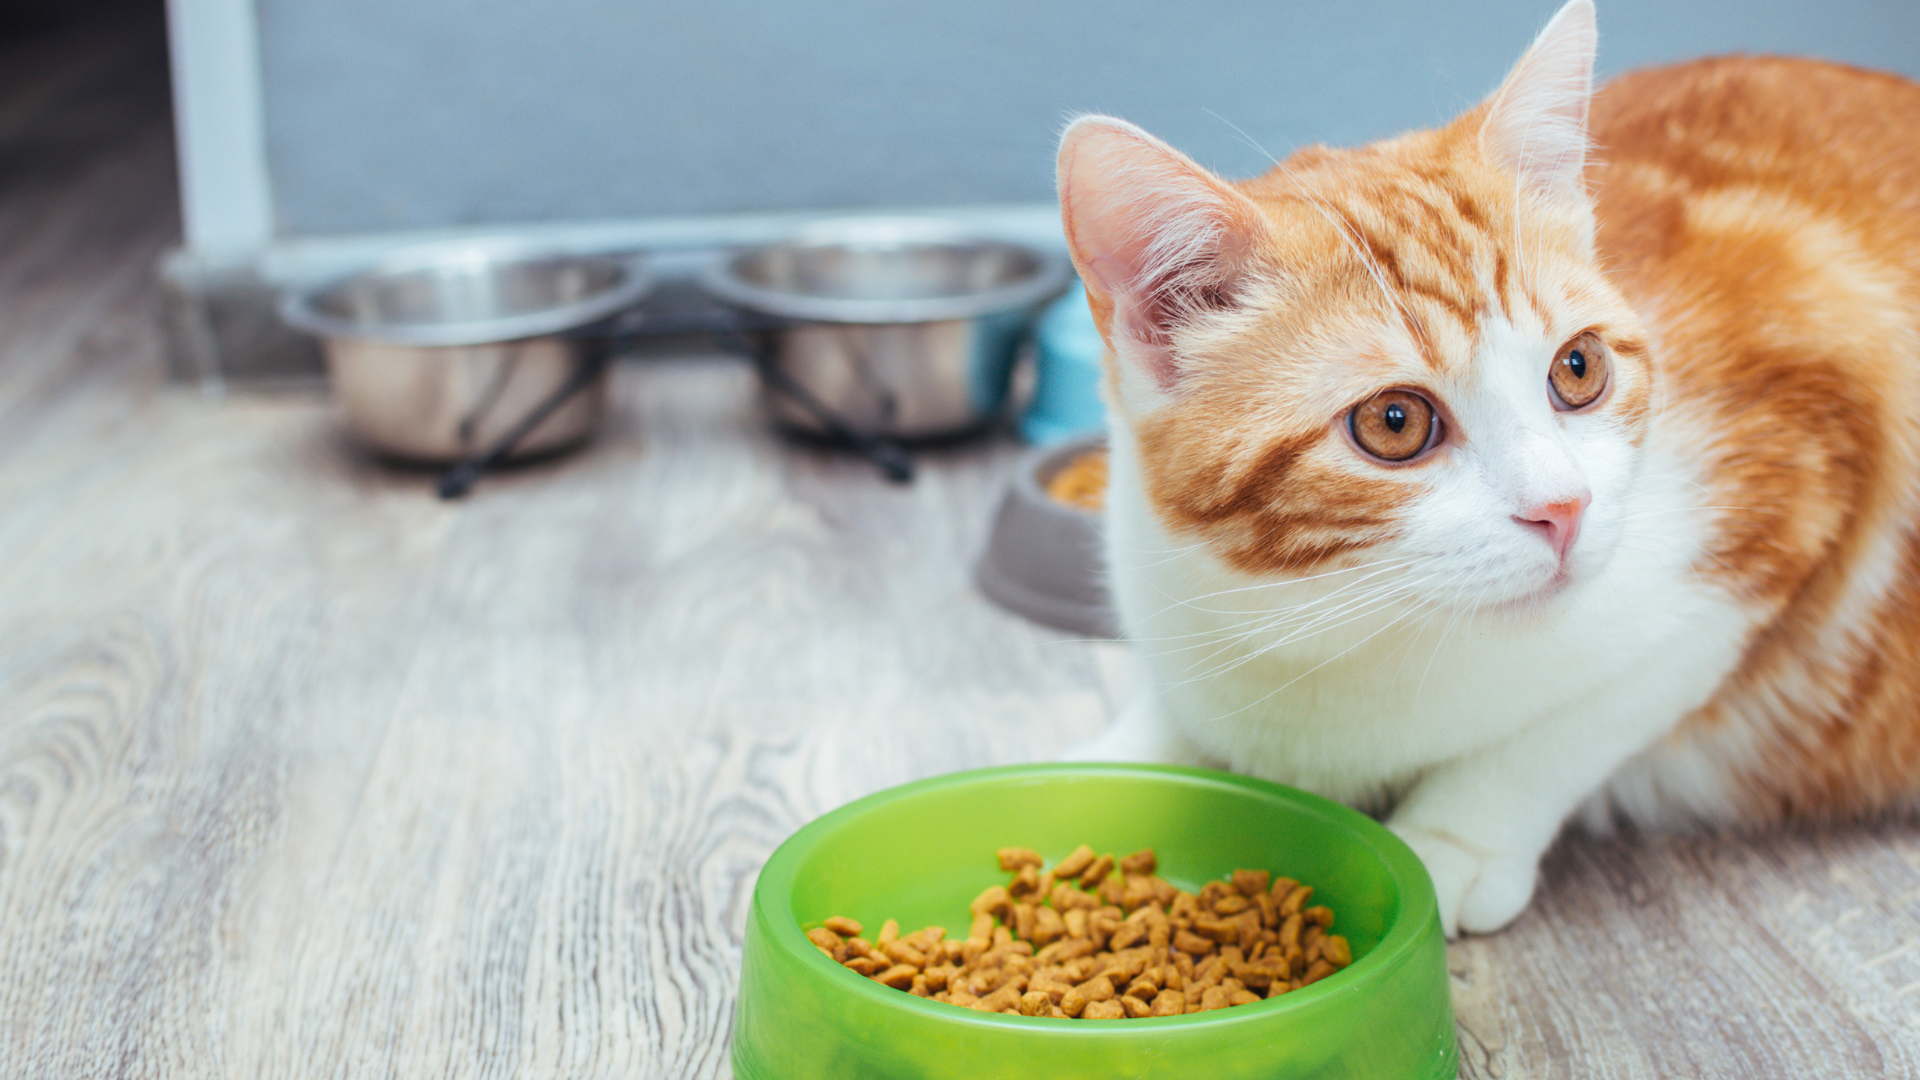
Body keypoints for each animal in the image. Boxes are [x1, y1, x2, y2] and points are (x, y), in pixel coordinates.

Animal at [1059, 0, 1920, 930]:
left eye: (1578, 369)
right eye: (1394, 422)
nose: (1565, 507)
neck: (1329, 629)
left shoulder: (1798, 476)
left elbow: (1583, 719)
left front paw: (1450, 841)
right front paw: (1114, 763)